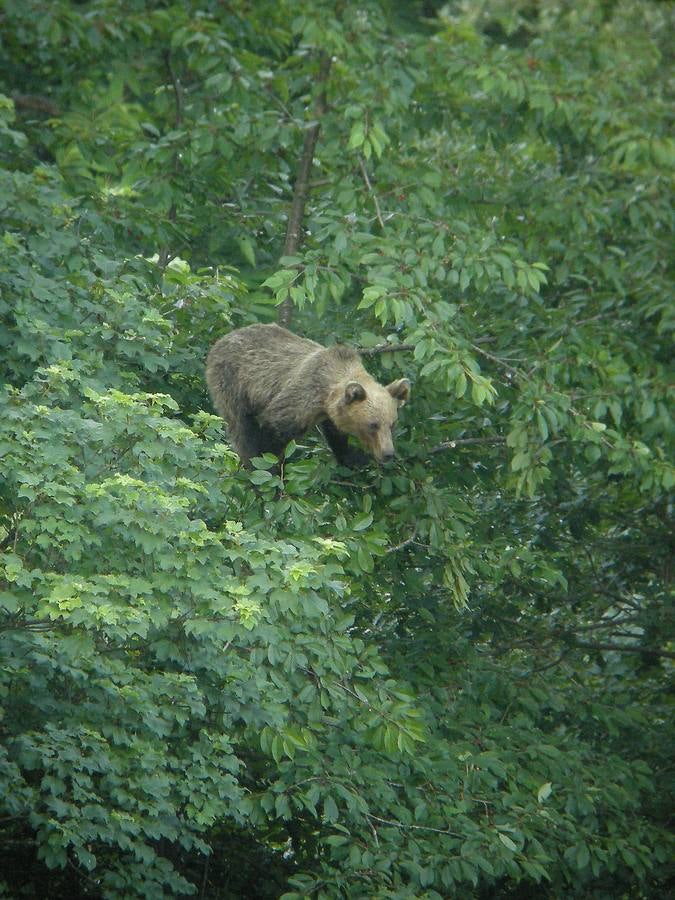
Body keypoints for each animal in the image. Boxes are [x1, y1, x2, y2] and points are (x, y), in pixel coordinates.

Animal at [205, 322, 412, 464]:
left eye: (392, 424)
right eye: (372, 425)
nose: (388, 453)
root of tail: (221, 340)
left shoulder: (330, 411)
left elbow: (335, 433)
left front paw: (353, 457)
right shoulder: (300, 398)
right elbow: (272, 429)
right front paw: (268, 465)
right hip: (232, 381)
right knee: (241, 425)